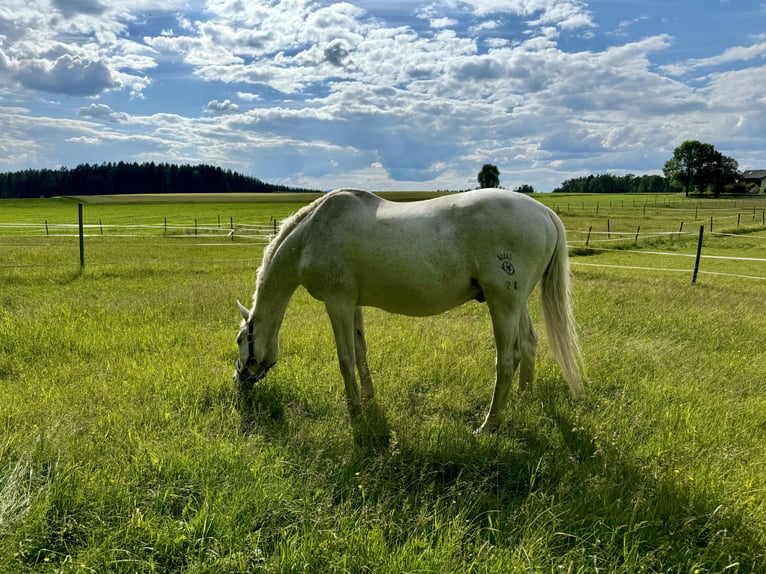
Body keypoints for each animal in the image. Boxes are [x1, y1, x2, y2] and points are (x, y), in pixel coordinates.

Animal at [232, 189, 584, 436]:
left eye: (240, 340)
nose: (239, 383)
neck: (311, 235)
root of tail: (545, 213)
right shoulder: (353, 304)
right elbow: (361, 351)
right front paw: (369, 399)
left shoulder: (337, 302)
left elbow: (345, 358)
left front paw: (355, 412)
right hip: (516, 303)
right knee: (529, 344)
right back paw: (524, 400)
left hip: (504, 304)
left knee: (507, 361)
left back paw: (488, 425)